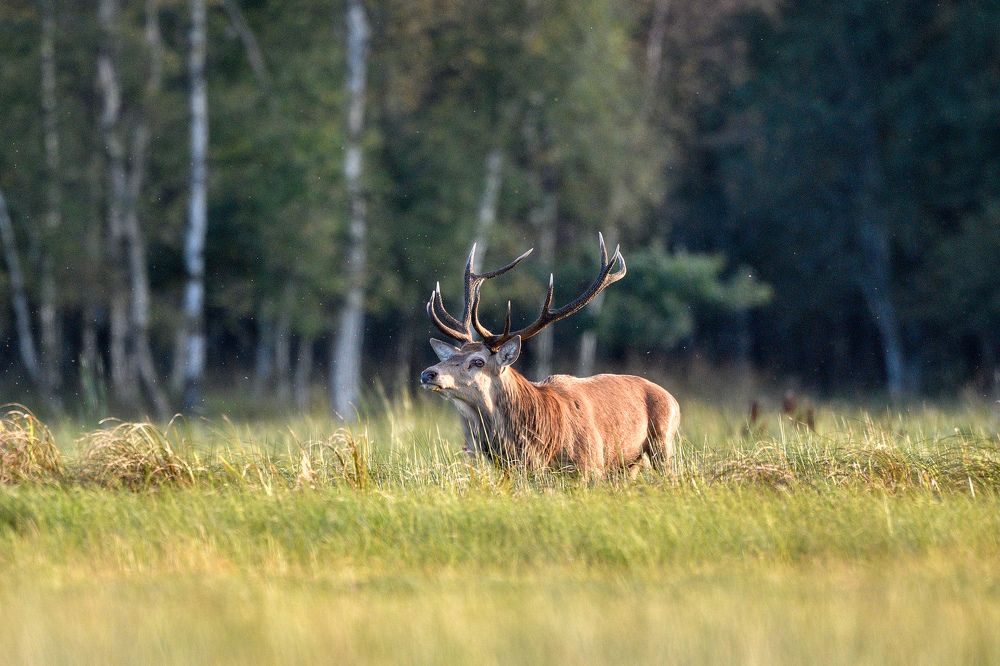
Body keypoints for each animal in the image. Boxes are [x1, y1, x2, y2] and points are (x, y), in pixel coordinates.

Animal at [419, 233, 680, 480]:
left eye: (478, 361)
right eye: (452, 356)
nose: (428, 373)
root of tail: (672, 398)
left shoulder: (591, 465)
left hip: (662, 444)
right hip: (629, 464)